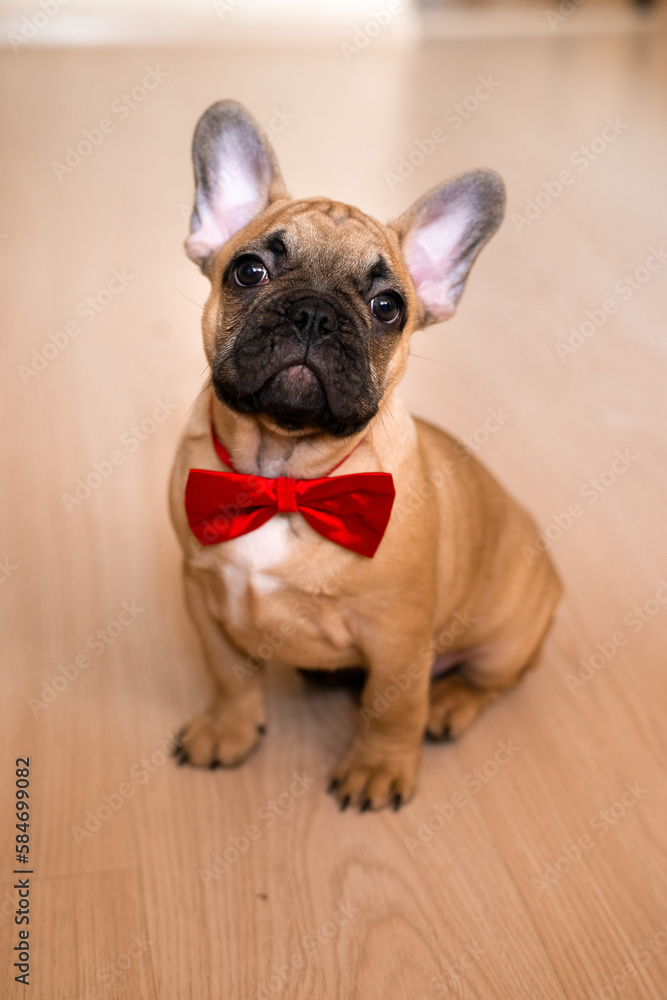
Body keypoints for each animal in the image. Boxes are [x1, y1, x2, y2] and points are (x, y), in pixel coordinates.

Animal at [168, 97, 564, 808]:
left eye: (387, 307)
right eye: (249, 271)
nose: (314, 315)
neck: (285, 474)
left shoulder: (398, 637)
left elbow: (391, 706)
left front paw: (378, 769)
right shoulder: (204, 597)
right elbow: (229, 675)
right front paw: (228, 732)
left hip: (506, 632)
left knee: (495, 678)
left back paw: (451, 703)